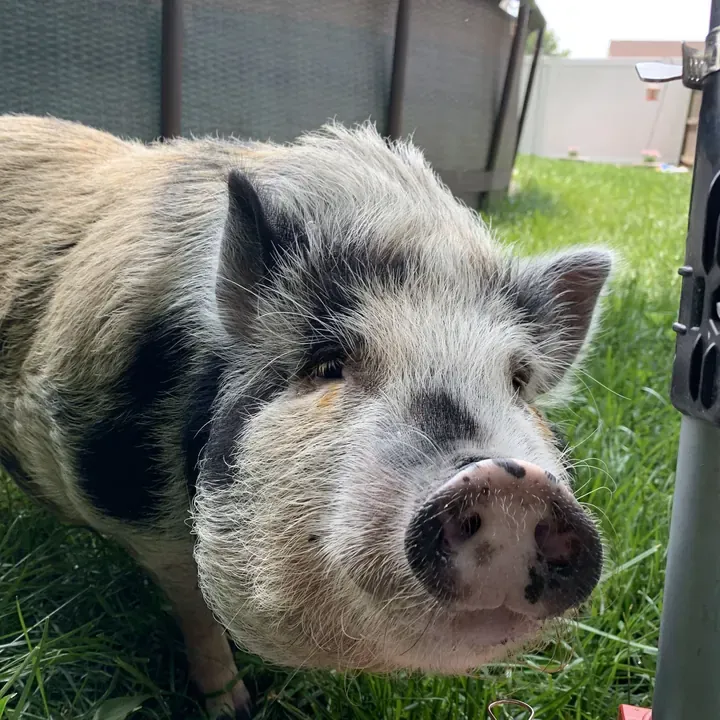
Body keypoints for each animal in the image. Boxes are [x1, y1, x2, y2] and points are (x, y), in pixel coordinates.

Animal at [0, 114, 611, 718]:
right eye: (327, 365)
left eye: (518, 382)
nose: (509, 479)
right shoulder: (134, 507)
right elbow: (195, 608)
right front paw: (233, 707)